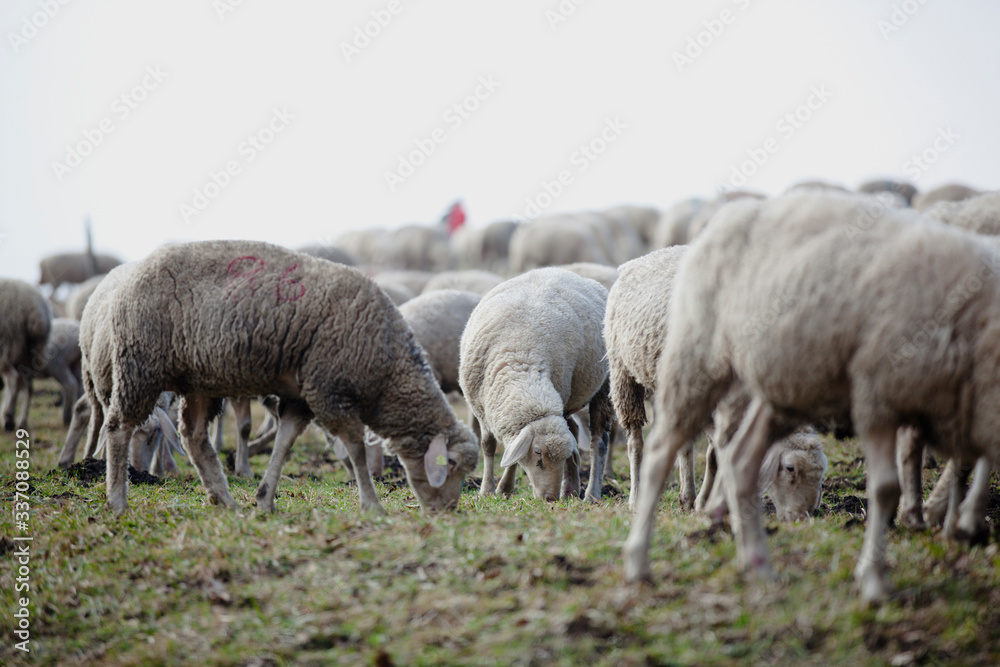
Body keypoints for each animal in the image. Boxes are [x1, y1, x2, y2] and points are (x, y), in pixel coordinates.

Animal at [0, 279, 52, 431]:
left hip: (8, 343)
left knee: (13, 379)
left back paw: (8, 419)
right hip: (29, 351)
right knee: (28, 385)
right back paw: (21, 422)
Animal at [99, 240, 478, 516]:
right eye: (451, 464)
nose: (448, 511)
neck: (388, 373)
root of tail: (132, 272)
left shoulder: (302, 397)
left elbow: (284, 441)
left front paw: (264, 499)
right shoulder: (330, 390)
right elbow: (355, 449)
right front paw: (372, 504)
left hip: (198, 380)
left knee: (193, 437)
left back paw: (224, 499)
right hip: (140, 364)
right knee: (118, 426)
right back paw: (117, 500)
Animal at [459, 267, 612, 502]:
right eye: (538, 453)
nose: (550, 498)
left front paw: (504, 488)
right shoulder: (481, 408)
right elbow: (488, 445)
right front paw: (487, 490)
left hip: (604, 386)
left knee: (600, 442)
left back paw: (591, 493)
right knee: (574, 429)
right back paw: (570, 488)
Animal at [623, 190, 1000, 604]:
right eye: (790, 471)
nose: (802, 518)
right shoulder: (877, 399)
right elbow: (886, 487)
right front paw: (874, 578)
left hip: (779, 389)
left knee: (738, 459)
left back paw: (755, 562)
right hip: (693, 362)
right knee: (660, 451)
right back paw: (639, 557)